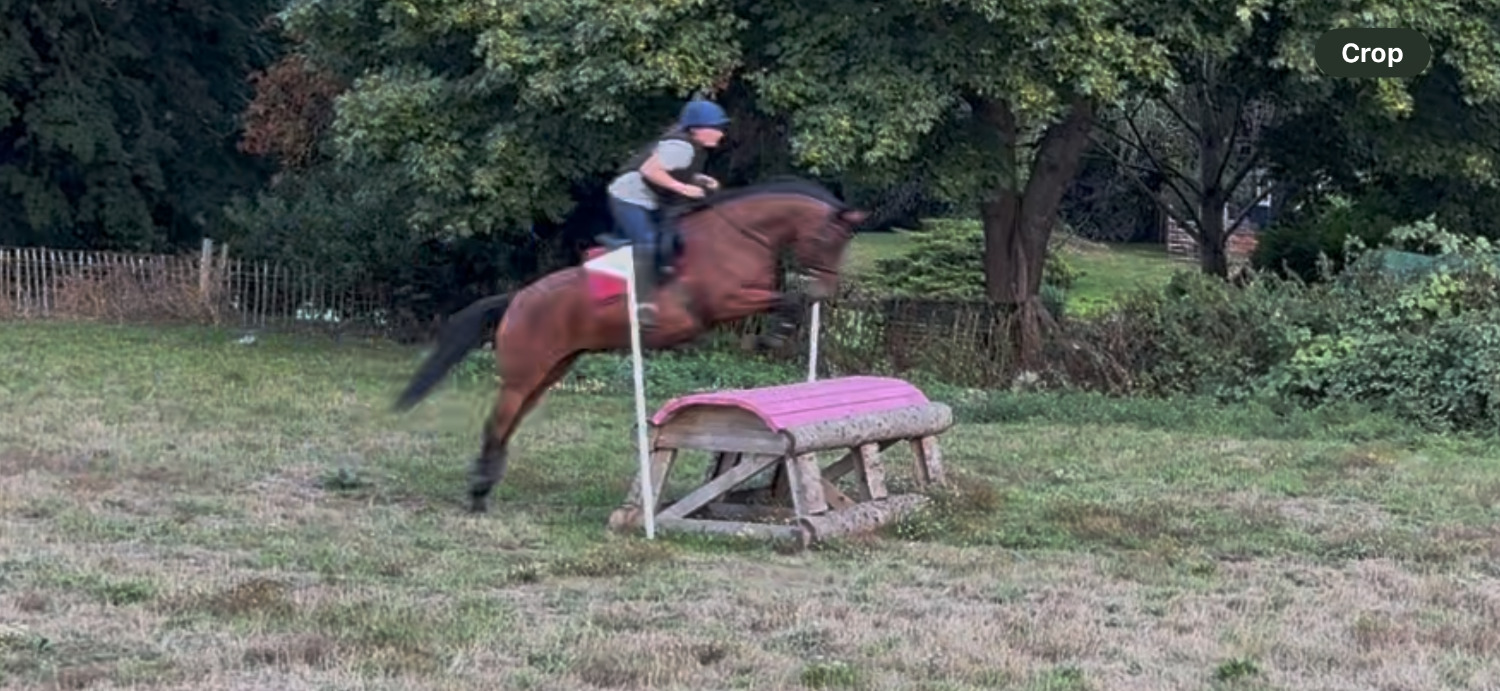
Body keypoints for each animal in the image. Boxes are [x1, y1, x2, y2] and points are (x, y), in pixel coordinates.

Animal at [391, 178, 868, 512]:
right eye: (829, 240)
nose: (827, 289)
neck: (741, 233)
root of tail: (517, 298)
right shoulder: (724, 301)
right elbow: (786, 299)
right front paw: (775, 334)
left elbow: (786, 298)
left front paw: (779, 330)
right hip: (524, 372)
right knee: (497, 423)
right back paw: (477, 495)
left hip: (550, 370)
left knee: (508, 423)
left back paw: (486, 484)